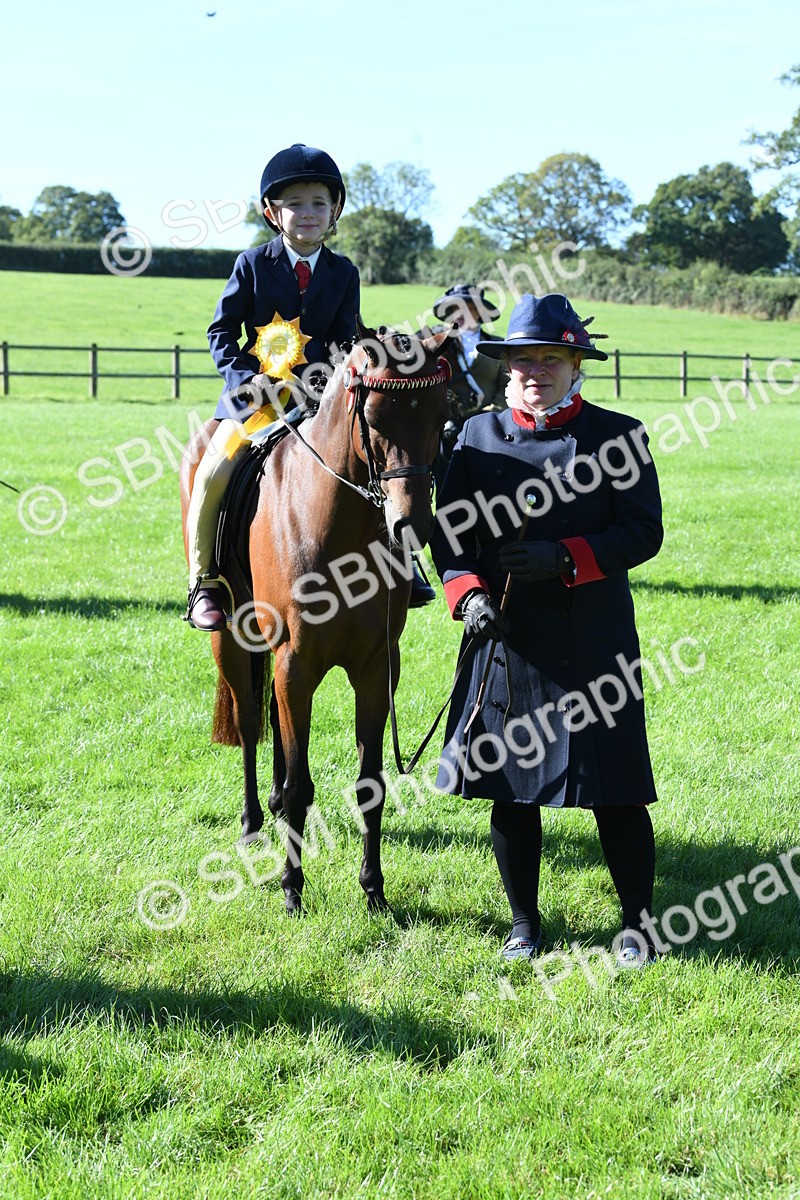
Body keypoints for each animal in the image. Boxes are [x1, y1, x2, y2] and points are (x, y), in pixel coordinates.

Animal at [180, 319, 450, 914]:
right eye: (375, 416)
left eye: (440, 416)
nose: (412, 524)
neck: (337, 525)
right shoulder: (296, 663)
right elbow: (301, 782)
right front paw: (291, 889)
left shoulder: (376, 668)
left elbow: (369, 782)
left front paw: (373, 891)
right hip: (233, 642)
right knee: (253, 727)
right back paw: (253, 825)